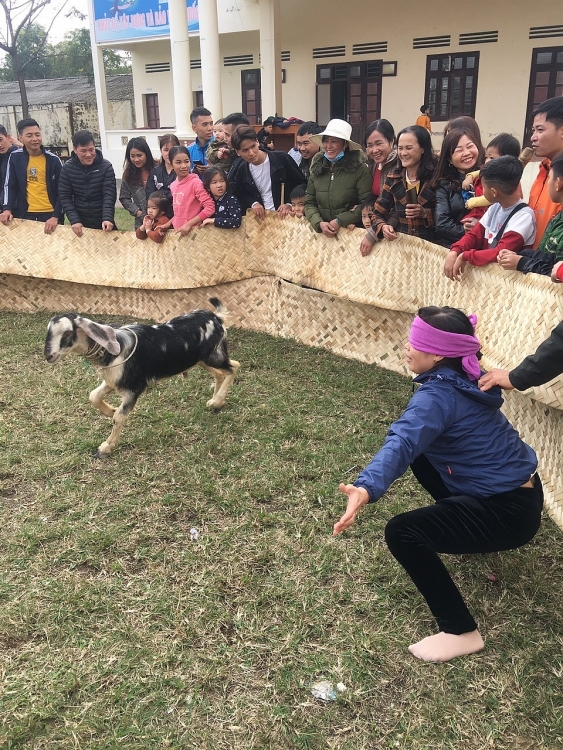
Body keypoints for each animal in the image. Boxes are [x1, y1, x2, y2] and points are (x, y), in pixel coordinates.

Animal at [43, 300, 238, 458]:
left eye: (67, 333)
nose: (48, 356)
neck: (114, 350)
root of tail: (216, 318)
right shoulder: (113, 381)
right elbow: (94, 396)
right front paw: (110, 410)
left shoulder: (134, 388)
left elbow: (119, 417)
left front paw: (105, 447)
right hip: (200, 359)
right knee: (220, 373)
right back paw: (215, 402)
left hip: (212, 355)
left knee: (234, 366)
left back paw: (218, 400)